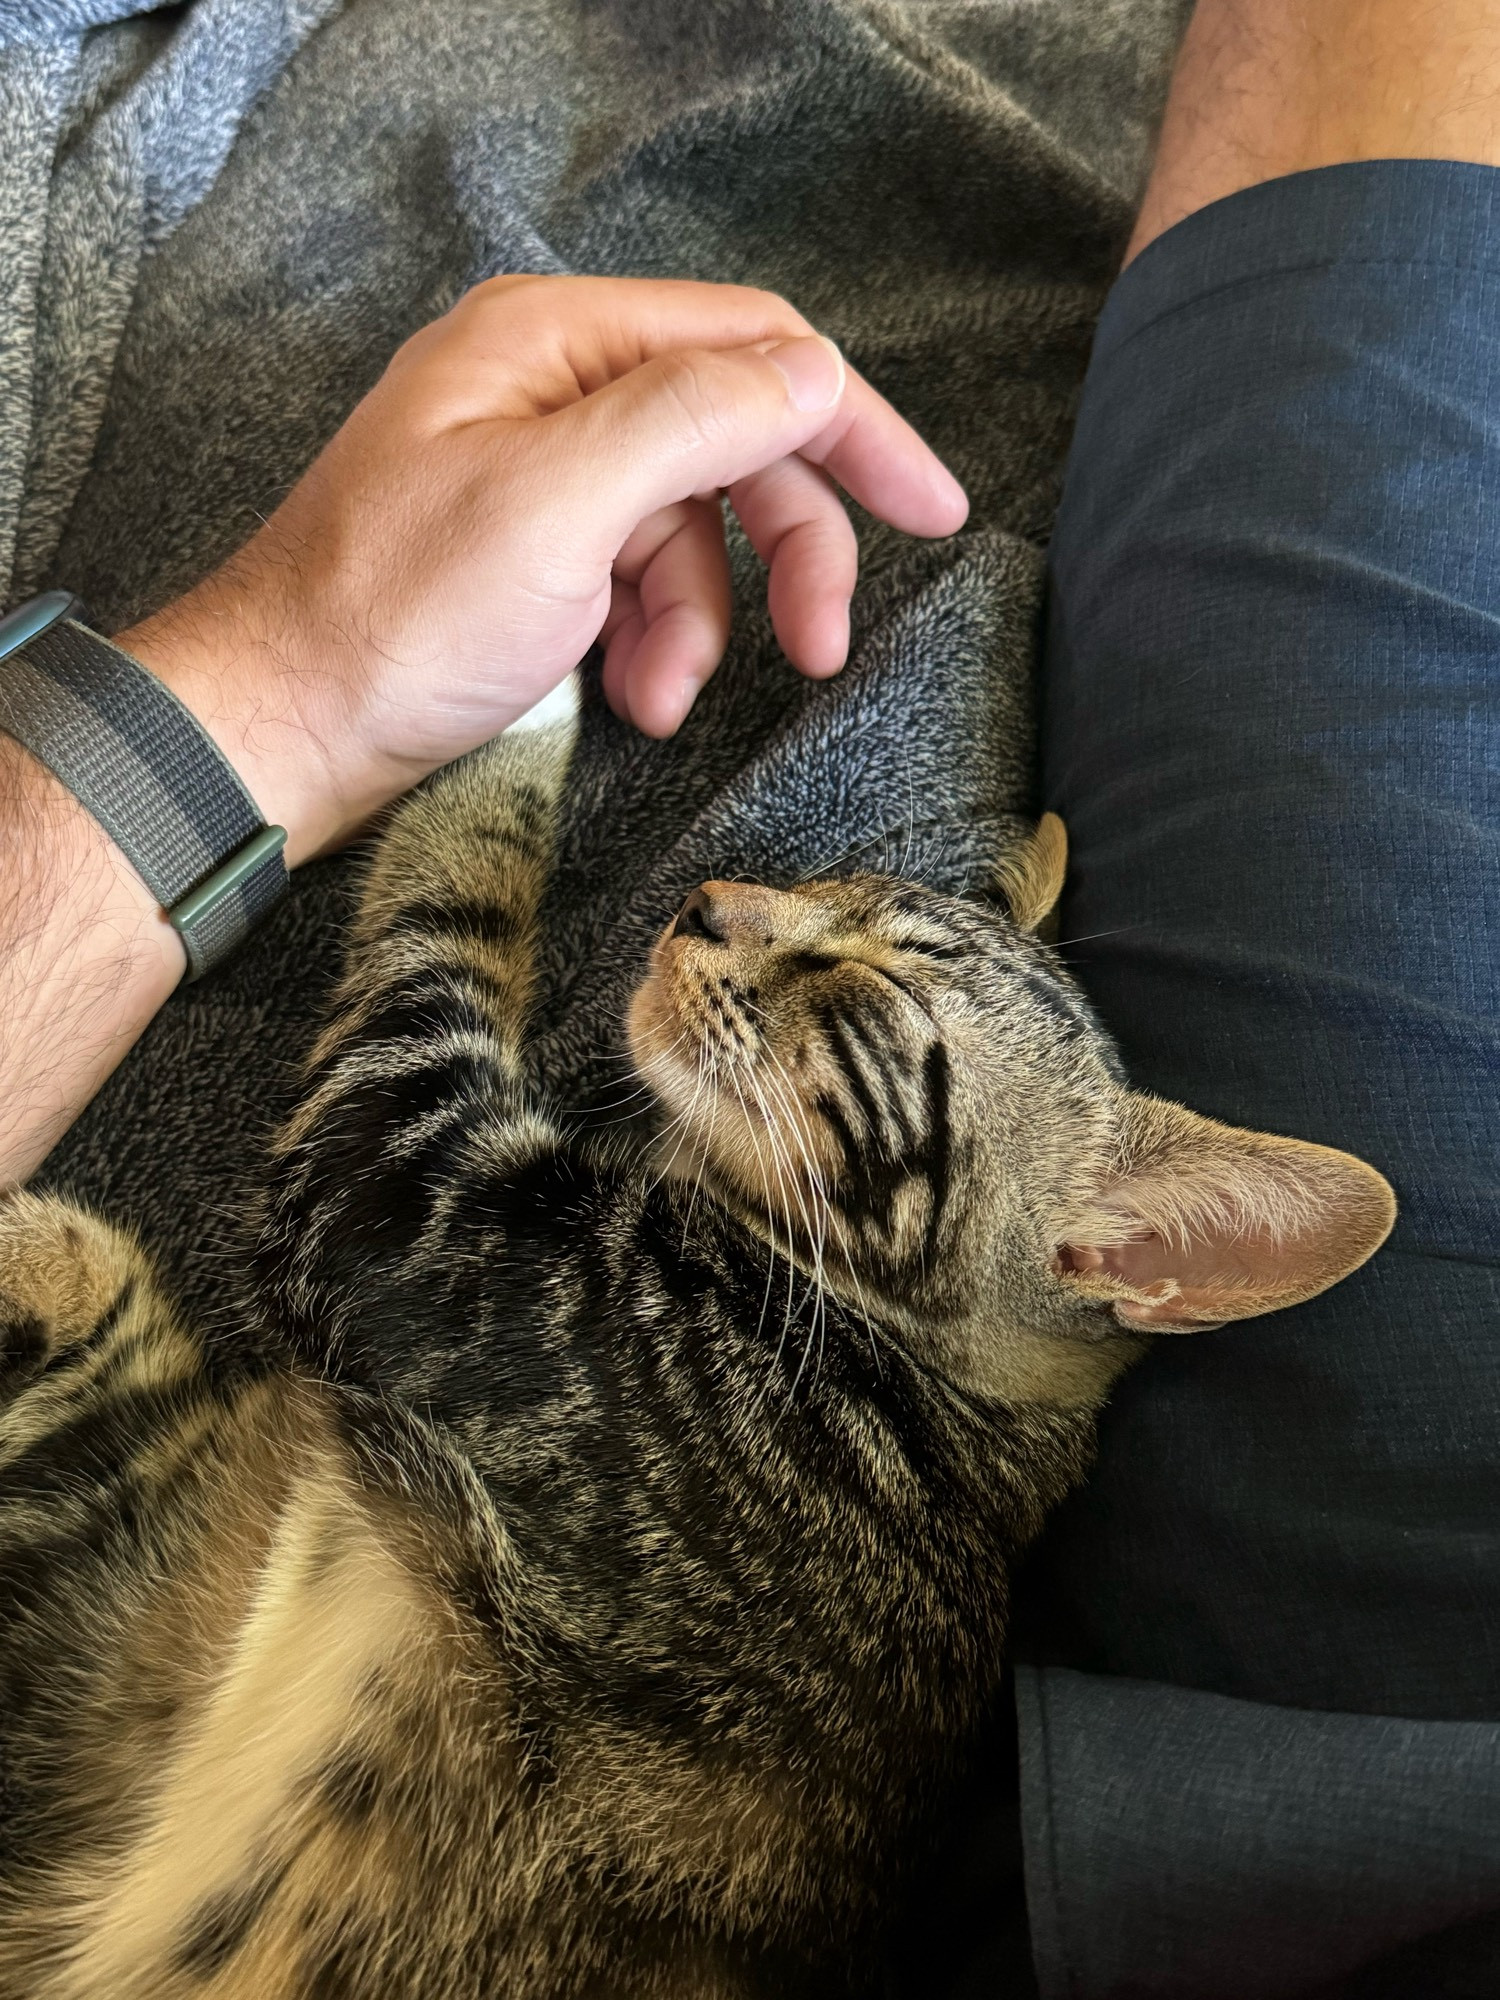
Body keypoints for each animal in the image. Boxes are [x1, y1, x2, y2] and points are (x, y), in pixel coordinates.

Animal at [0, 732, 1400, 2000]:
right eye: (833, 882)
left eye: (870, 998)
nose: (708, 899)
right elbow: (97, 1297)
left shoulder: (408, 1187)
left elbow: (446, 907)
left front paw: (537, 704)